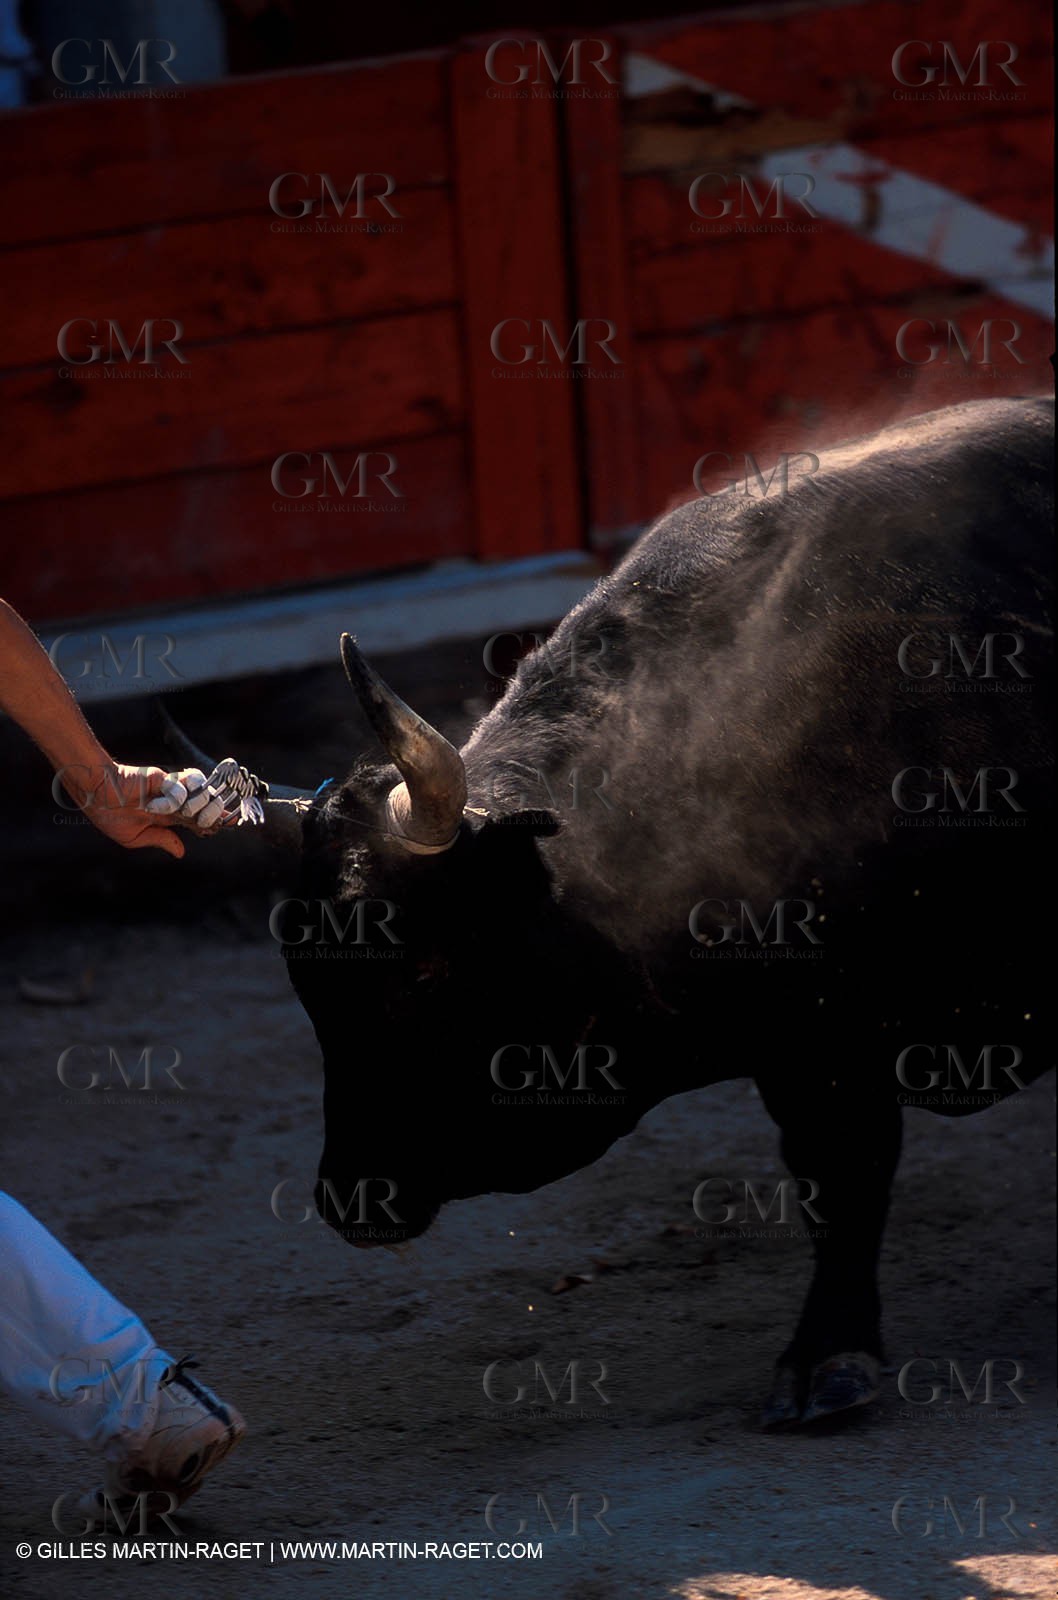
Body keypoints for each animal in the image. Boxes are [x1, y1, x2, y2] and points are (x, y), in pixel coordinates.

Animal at [171, 396, 1053, 1427]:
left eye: (426, 970)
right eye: (303, 982)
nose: (351, 1197)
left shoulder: (836, 1037)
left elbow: (850, 1172)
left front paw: (829, 1357)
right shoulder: (801, 1044)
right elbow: (832, 1176)